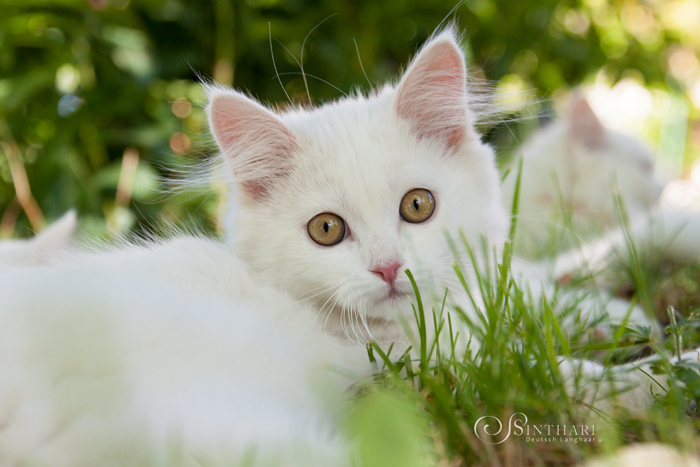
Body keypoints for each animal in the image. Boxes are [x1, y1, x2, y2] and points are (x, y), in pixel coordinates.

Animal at [1, 27, 700, 466]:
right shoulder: (427, 369)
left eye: (418, 206)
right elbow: (559, 374)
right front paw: (669, 371)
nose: (389, 268)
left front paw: (622, 312)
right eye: (327, 230)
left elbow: (545, 281)